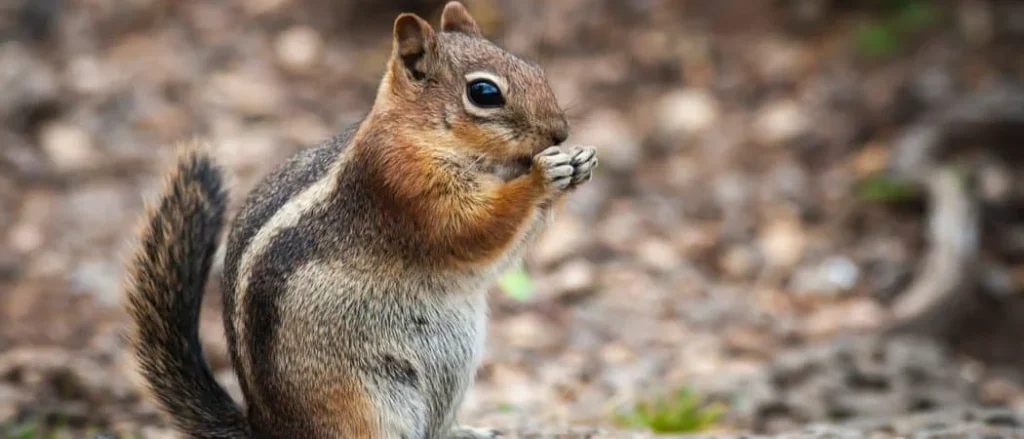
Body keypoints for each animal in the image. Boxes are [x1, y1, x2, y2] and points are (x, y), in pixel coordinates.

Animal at [122, 2, 598, 438]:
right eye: (484, 92)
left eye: (534, 67)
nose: (560, 132)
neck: (416, 131)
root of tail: (267, 429)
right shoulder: (403, 184)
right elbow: (472, 229)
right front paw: (542, 176)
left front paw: (579, 163)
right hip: (364, 402)